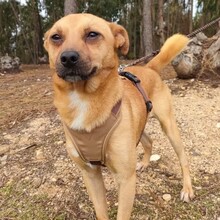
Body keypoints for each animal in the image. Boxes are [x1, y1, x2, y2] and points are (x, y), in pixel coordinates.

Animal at [44, 13, 194, 220]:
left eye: (92, 34)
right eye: (56, 37)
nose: (67, 58)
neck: (83, 99)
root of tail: (149, 68)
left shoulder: (126, 180)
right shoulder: (90, 174)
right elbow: (101, 211)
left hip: (169, 126)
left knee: (183, 158)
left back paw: (187, 188)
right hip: (138, 125)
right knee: (148, 141)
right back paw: (145, 163)